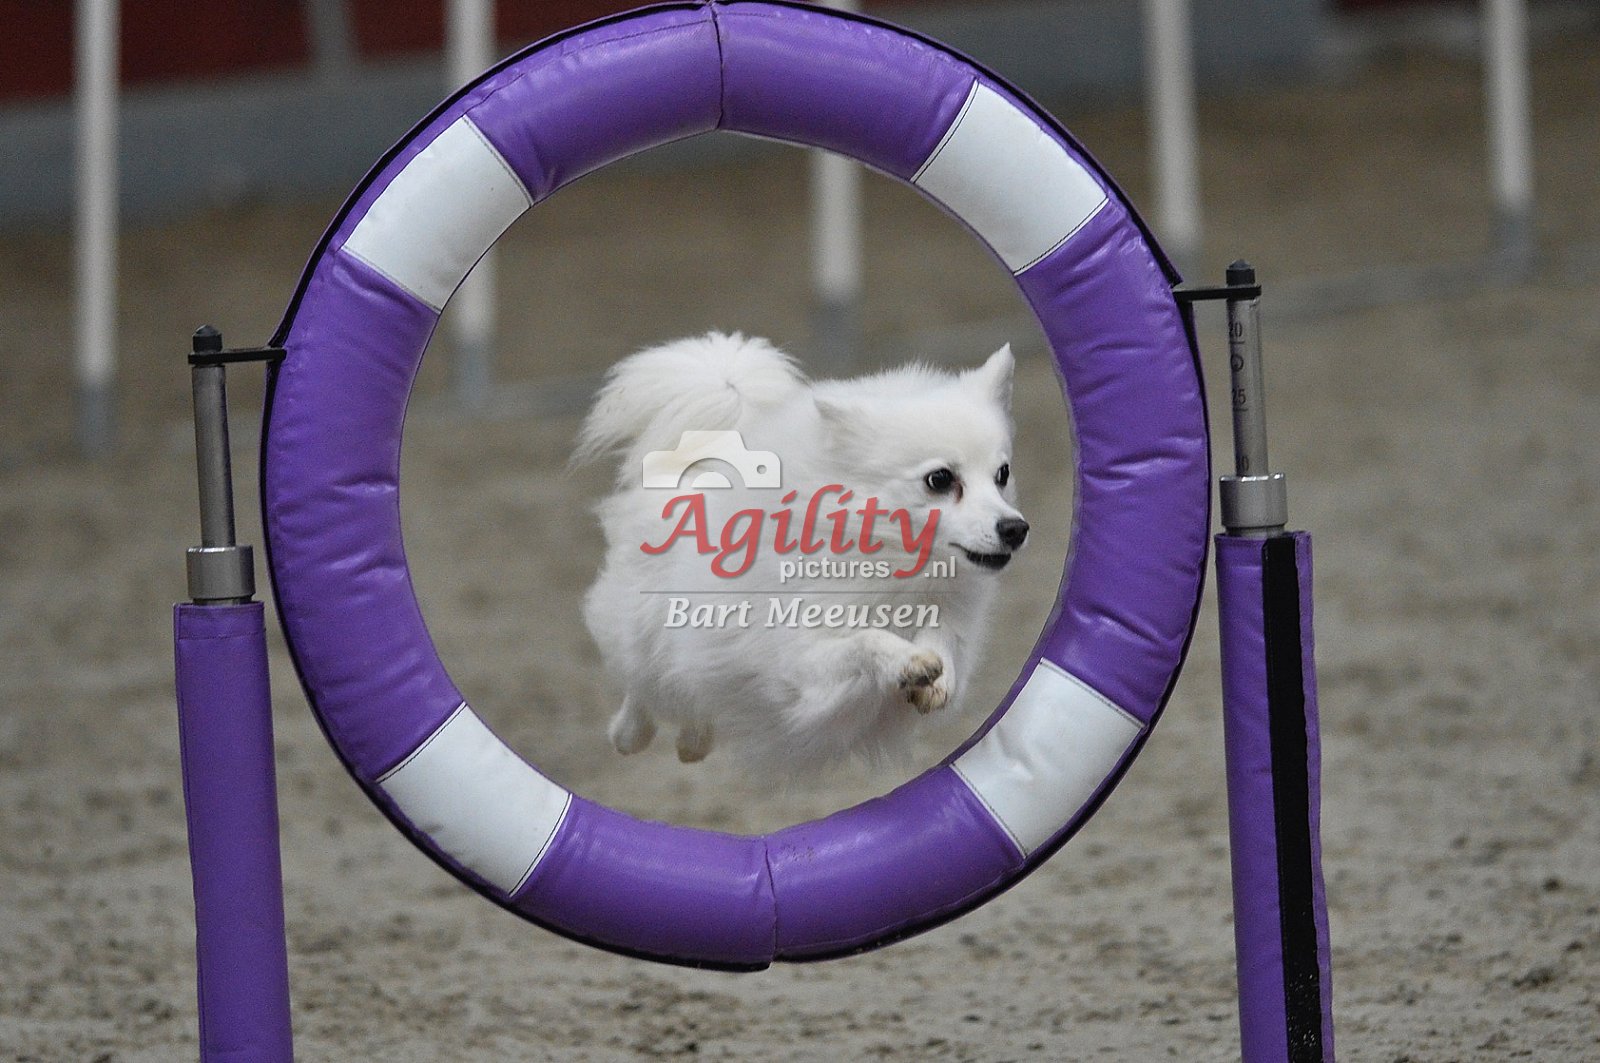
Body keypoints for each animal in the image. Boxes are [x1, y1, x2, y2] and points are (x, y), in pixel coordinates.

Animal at [576, 332, 1027, 775]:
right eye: (940, 479)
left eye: (1002, 475)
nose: (1015, 529)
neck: (890, 559)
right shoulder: (799, 663)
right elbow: (864, 641)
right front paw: (908, 660)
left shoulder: (952, 614)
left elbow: (945, 637)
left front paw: (936, 677)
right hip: (645, 633)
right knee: (645, 685)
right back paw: (629, 735)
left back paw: (692, 742)